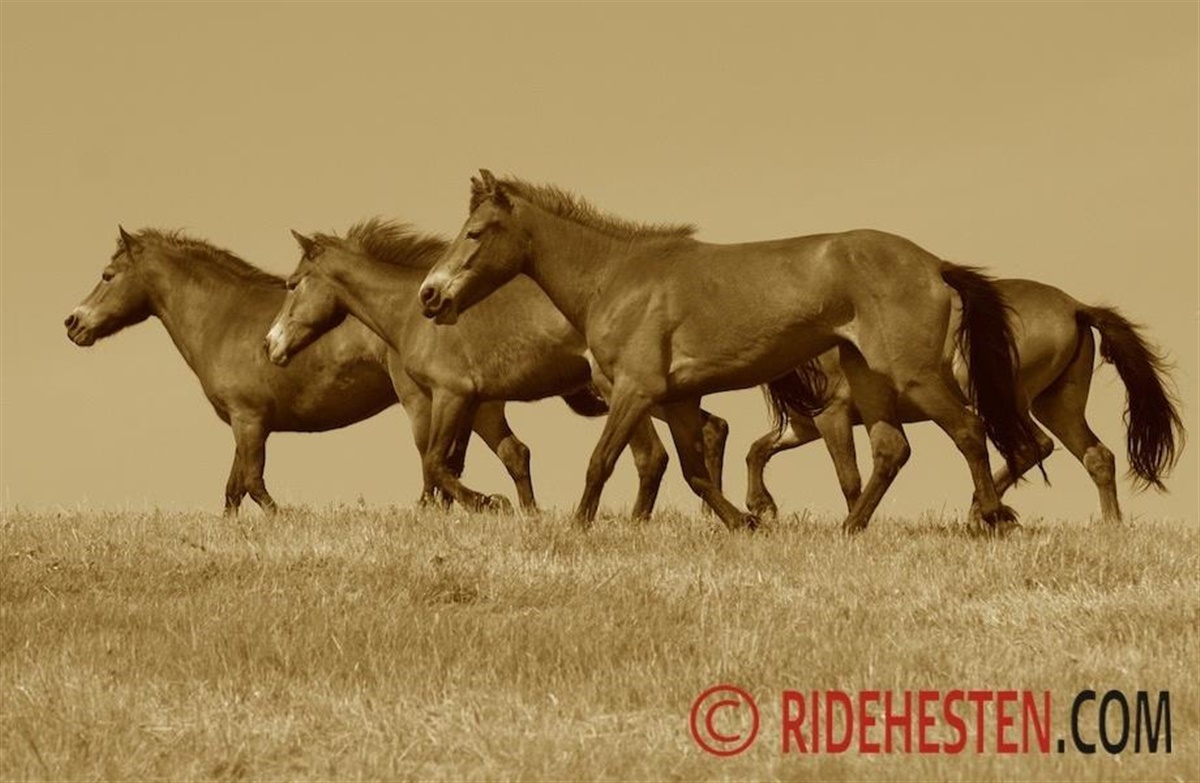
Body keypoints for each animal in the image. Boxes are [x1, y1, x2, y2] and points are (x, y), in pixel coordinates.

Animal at [64, 226, 399, 515]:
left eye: (107, 275)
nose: (73, 323)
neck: (226, 318)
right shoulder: (242, 423)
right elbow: (234, 489)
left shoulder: (249, 419)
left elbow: (252, 483)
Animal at [262, 219, 730, 518]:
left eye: (292, 284)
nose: (270, 345)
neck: (409, 314)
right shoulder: (480, 404)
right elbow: (504, 456)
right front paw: (525, 512)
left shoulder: (445, 397)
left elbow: (436, 461)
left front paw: (484, 504)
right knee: (711, 428)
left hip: (625, 391)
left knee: (654, 456)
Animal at [418, 170, 1043, 533]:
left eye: (475, 232)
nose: (430, 294)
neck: (616, 277)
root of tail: (934, 264)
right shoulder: (676, 400)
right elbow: (696, 473)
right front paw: (746, 520)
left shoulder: (634, 391)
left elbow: (602, 461)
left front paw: (576, 528)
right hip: (870, 378)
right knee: (892, 450)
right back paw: (850, 529)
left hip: (914, 374)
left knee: (967, 429)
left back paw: (991, 518)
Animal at [746, 278, 1184, 524]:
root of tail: (1074, 307)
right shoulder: (803, 426)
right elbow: (758, 450)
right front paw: (761, 506)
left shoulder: (831, 417)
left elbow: (848, 475)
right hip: (1056, 405)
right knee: (1097, 456)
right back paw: (1110, 526)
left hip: (1005, 400)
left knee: (1031, 446)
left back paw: (981, 511)